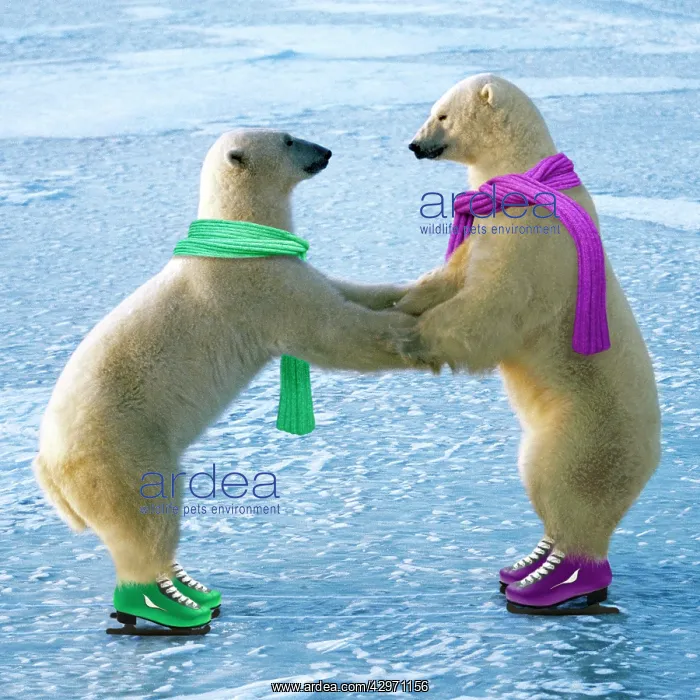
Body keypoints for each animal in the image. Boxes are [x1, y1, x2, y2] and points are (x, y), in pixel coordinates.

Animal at [33, 128, 419, 630]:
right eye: (289, 140)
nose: (326, 152)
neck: (239, 238)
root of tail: (47, 465)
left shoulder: (285, 270)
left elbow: (342, 288)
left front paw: (412, 290)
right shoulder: (258, 289)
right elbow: (329, 329)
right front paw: (410, 332)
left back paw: (196, 591)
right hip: (118, 450)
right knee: (147, 519)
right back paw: (167, 608)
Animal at [401, 73, 661, 610]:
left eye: (441, 115)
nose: (414, 144)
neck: (524, 173)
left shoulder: (529, 238)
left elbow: (492, 304)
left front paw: (417, 337)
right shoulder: (487, 226)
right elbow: (453, 275)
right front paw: (403, 299)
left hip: (584, 434)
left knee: (563, 490)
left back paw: (553, 584)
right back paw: (522, 566)